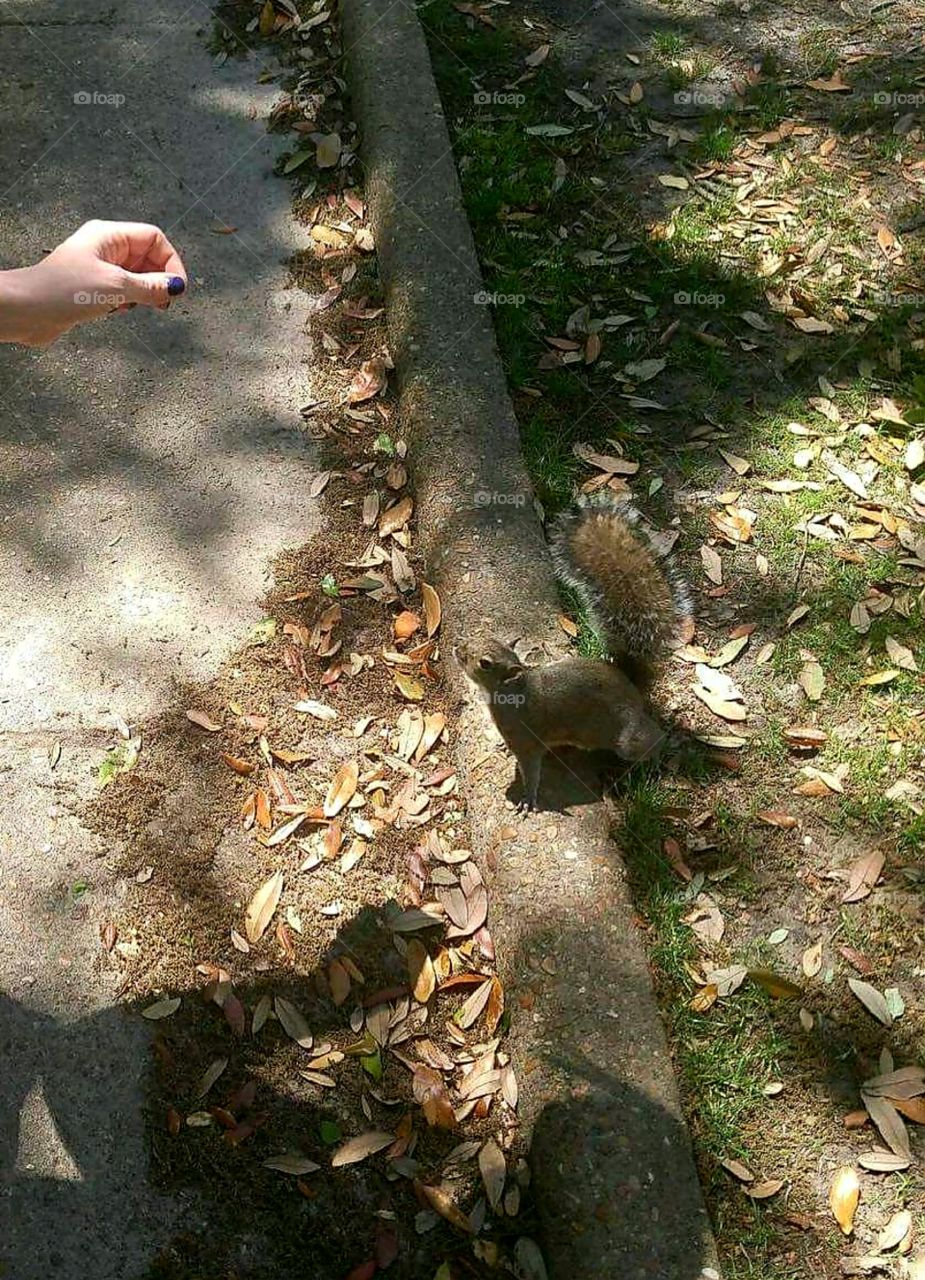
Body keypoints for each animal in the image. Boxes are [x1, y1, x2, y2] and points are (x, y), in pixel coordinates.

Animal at [458, 493, 692, 811]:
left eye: (484, 663)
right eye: (484, 638)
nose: (458, 649)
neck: (513, 692)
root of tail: (632, 684)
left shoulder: (527, 741)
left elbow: (532, 770)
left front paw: (528, 799)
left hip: (626, 738)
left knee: (653, 740)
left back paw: (655, 759)